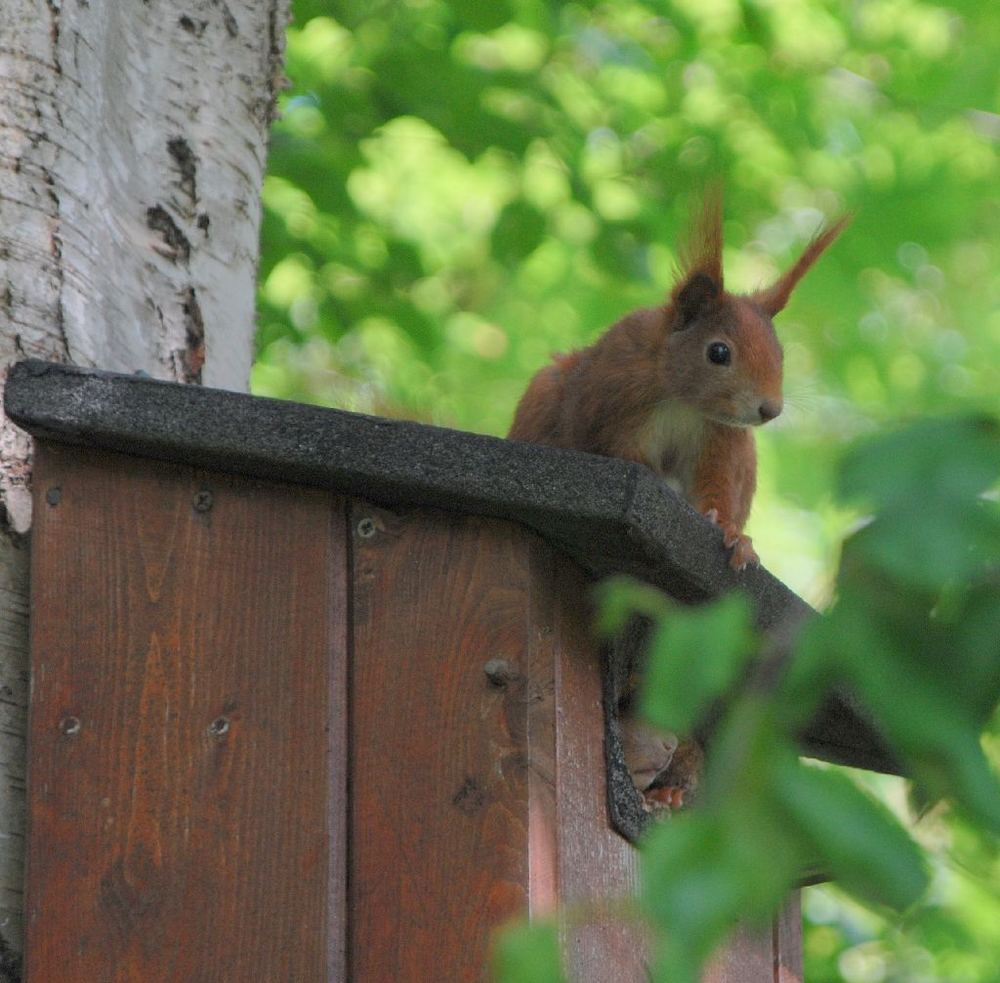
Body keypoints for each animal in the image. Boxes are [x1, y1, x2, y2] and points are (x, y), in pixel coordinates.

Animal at [508, 194, 844, 568]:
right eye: (718, 352)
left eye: (781, 353)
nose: (770, 409)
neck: (682, 402)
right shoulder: (615, 409)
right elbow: (626, 456)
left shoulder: (721, 439)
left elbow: (717, 486)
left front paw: (734, 535)